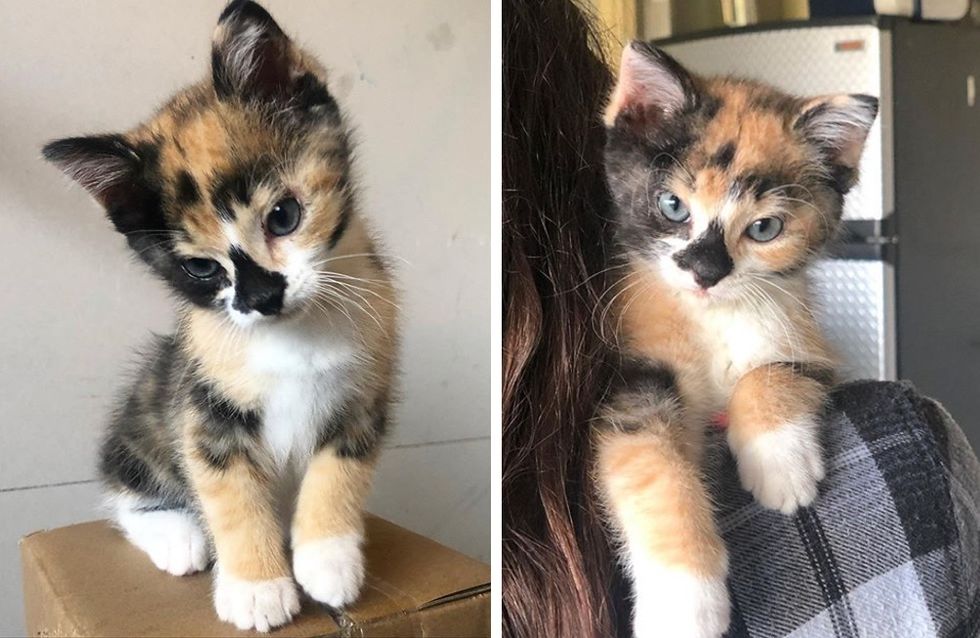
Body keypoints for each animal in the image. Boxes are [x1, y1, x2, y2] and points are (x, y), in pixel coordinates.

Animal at [41, 1, 394, 636]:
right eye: (202, 268)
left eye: (284, 216)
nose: (262, 298)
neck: (291, 335)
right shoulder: (203, 408)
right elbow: (230, 493)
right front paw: (257, 587)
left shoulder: (366, 392)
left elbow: (341, 470)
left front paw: (328, 559)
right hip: (145, 411)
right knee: (124, 490)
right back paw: (178, 537)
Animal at [596, 42, 880, 636]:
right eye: (673, 206)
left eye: (764, 229)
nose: (706, 271)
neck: (713, 317)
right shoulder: (631, 377)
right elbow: (651, 462)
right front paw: (686, 602)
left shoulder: (811, 343)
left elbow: (776, 370)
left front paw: (780, 464)